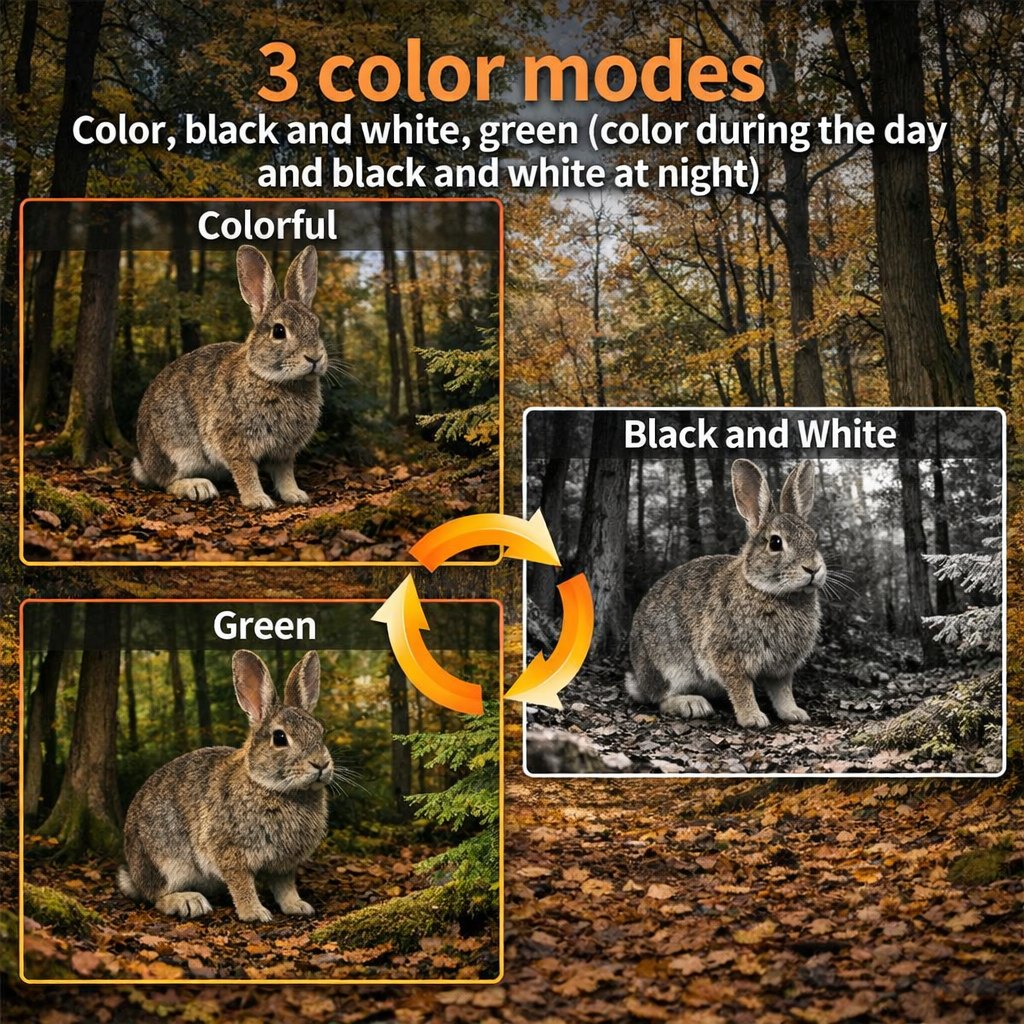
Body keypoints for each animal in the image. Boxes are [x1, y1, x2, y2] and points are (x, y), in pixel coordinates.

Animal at [117, 650, 334, 921]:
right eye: (280, 738)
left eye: (320, 731)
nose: (321, 764)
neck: (271, 787)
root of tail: (133, 874)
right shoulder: (229, 852)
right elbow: (242, 884)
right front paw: (255, 913)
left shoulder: (283, 863)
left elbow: (285, 886)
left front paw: (298, 906)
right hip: (163, 862)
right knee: (155, 896)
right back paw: (188, 902)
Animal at [131, 245, 328, 510]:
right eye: (279, 331)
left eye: (316, 326)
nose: (314, 358)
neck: (274, 380)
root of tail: (144, 461)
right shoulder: (236, 443)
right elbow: (245, 471)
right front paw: (258, 500)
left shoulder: (283, 451)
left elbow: (285, 473)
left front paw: (295, 495)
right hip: (176, 451)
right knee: (165, 482)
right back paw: (197, 487)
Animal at [624, 459, 826, 729]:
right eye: (775, 543)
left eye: (814, 538)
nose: (813, 569)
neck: (770, 592)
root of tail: (639, 680)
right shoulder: (729, 657)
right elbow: (741, 688)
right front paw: (753, 718)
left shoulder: (781, 668)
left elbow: (783, 692)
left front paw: (794, 713)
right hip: (668, 667)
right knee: (660, 699)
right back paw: (692, 704)